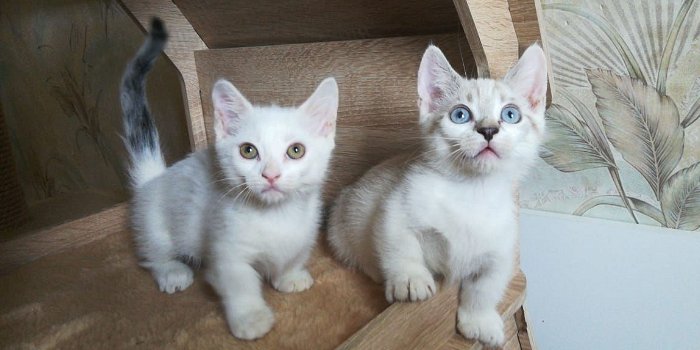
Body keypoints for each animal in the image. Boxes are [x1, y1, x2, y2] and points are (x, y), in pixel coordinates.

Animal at [121, 19, 340, 340]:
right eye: (248, 151)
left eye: (296, 150)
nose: (270, 174)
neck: (276, 216)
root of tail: (156, 177)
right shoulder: (225, 248)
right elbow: (239, 282)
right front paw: (251, 318)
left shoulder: (306, 230)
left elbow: (295, 254)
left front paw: (289, 275)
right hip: (153, 223)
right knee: (152, 253)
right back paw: (172, 271)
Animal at [328, 44, 548, 348]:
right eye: (460, 115)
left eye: (511, 114)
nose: (488, 130)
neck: (471, 192)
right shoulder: (394, 208)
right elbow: (400, 244)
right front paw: (411, 279)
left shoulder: (502, 249)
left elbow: (486, 285)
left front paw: (480, 320)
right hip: (341, 223)